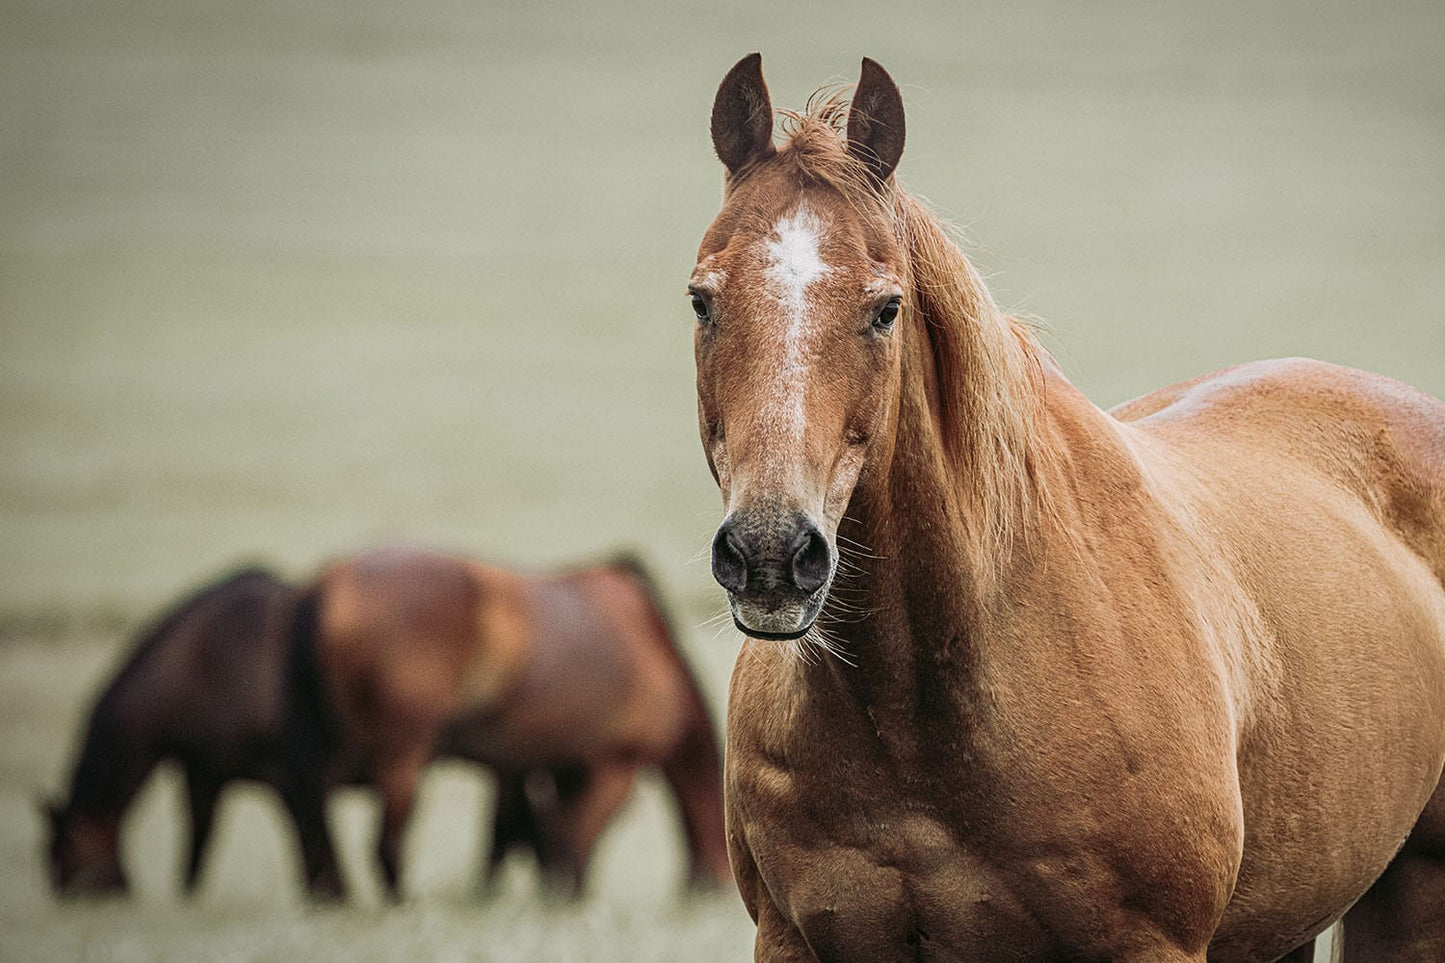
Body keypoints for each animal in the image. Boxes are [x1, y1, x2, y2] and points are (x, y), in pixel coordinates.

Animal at [286, 546, 732, 900]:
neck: (654, 645)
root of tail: (327, 584)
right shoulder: (614, 766)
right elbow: (571, 836)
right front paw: (565, 898)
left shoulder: (540, 768)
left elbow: (519, 833)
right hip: (401, 756)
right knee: (384, 846)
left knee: (314, 822)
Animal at [692, 54, 1445, 962]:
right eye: (702, 300)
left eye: (884, 308)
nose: (770, 554)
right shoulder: (793, 938)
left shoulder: (1153, 943)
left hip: (1413, 895)